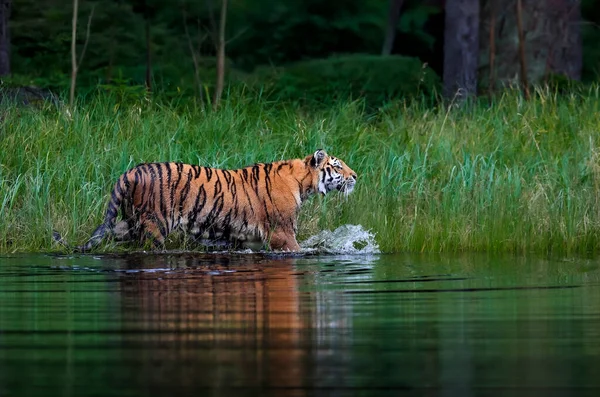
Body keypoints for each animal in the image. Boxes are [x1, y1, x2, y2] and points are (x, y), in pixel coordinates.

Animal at [54, 150, 356, 252]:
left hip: (130, 222)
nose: (356, 176)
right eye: (337, 166)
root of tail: (131, 171)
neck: (303, 183)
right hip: (154, 225)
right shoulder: (283, 233)